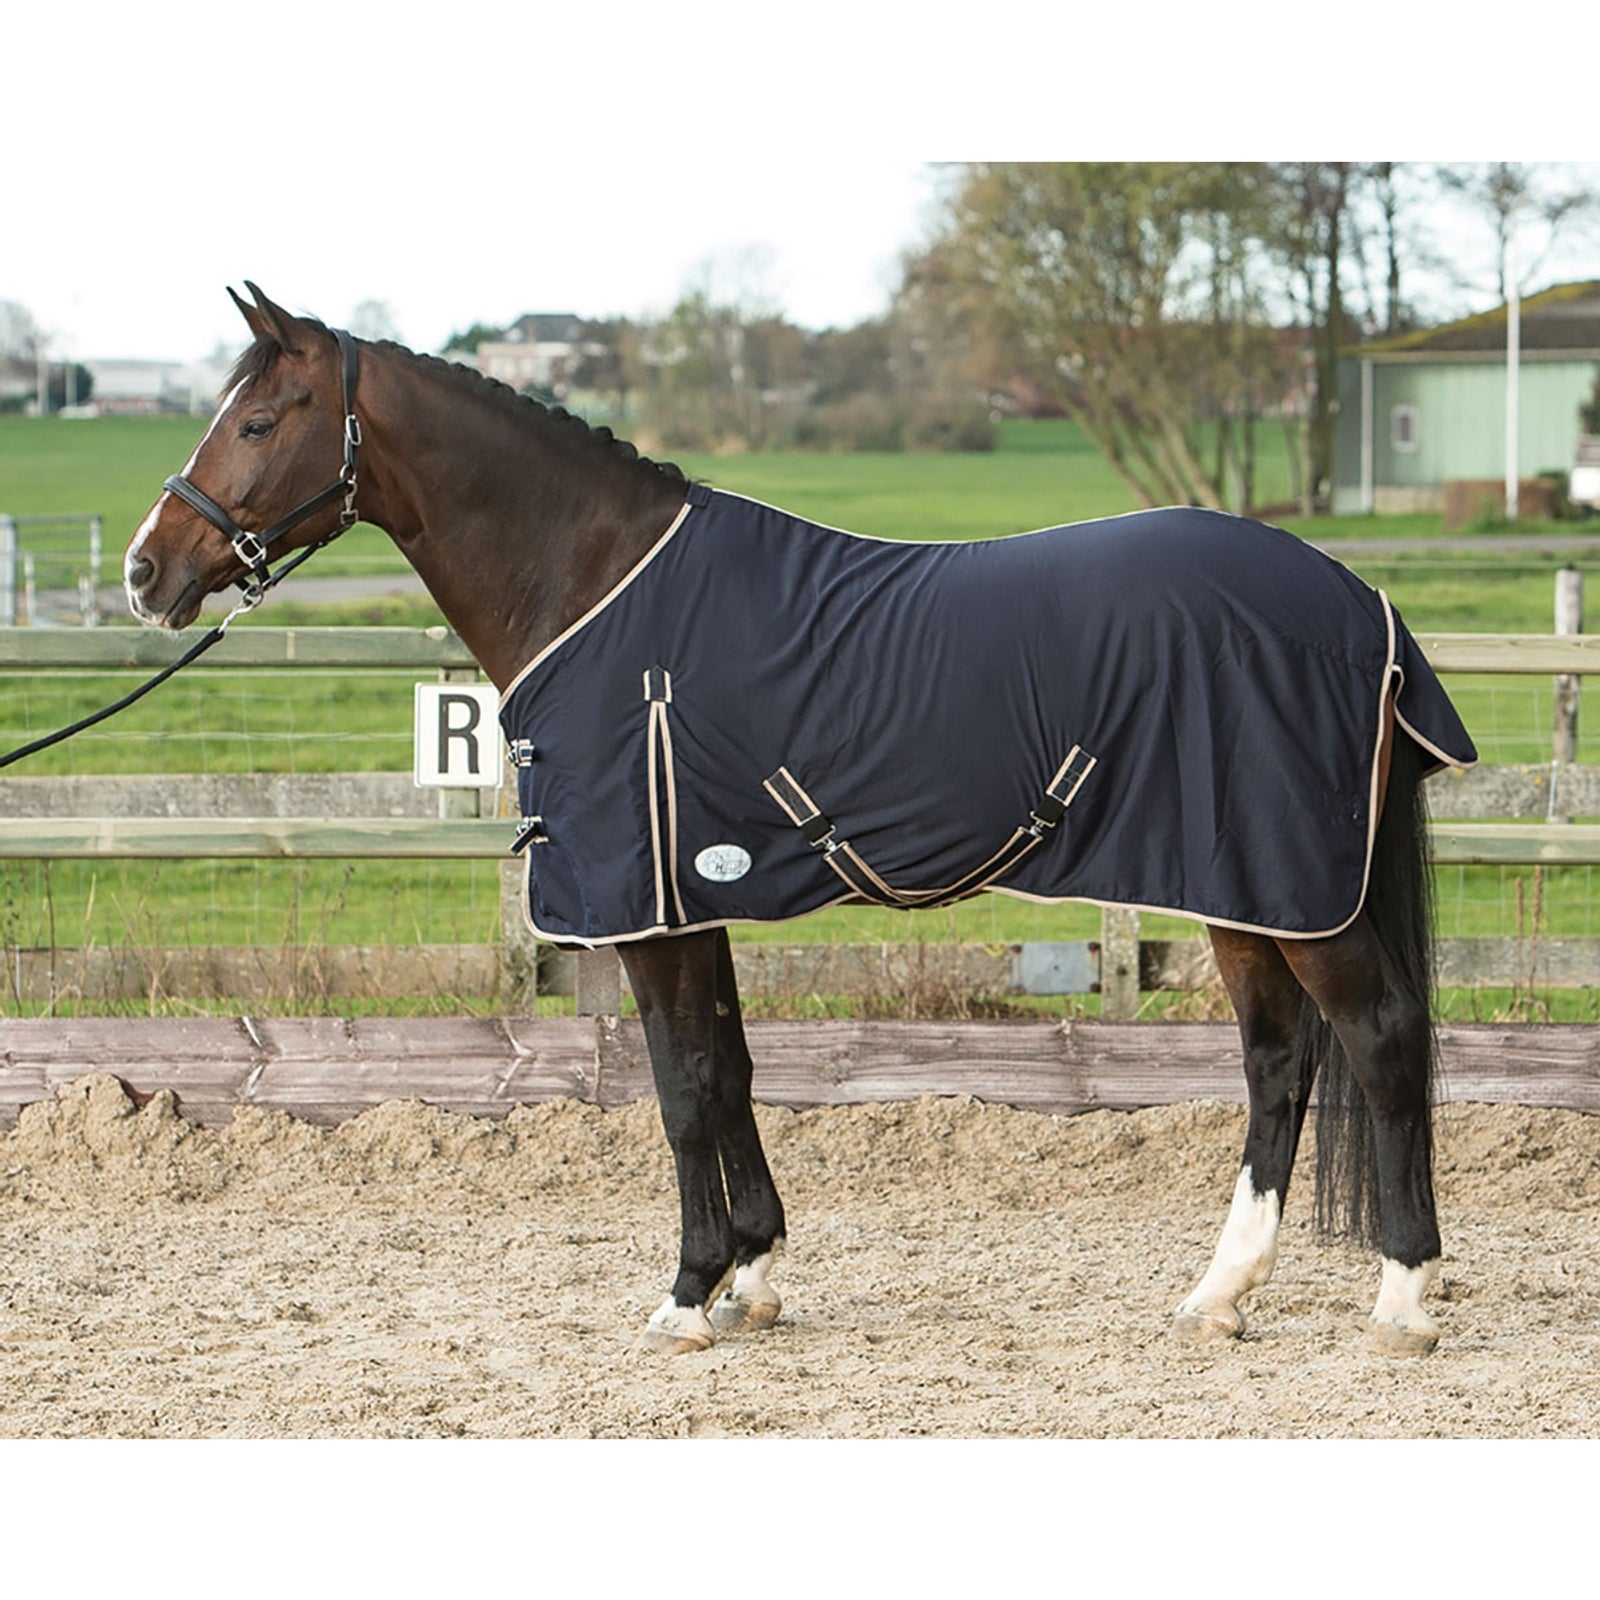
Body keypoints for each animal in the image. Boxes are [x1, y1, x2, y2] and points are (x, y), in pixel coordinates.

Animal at [125, 284, 1476, 1358]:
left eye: (256, 421)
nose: (147, 570)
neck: (598, 589)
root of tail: (1359, 601)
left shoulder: (648, 907)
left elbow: (679, 1089)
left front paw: (685, 1295)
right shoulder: (694, 895)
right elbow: (726, 1071)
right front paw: (755, 1273)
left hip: (1294, 890)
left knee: (1380, 1037)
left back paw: (1402, 1300)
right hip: (1241, 884)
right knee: (1278, 1062)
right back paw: (1219, 1294)